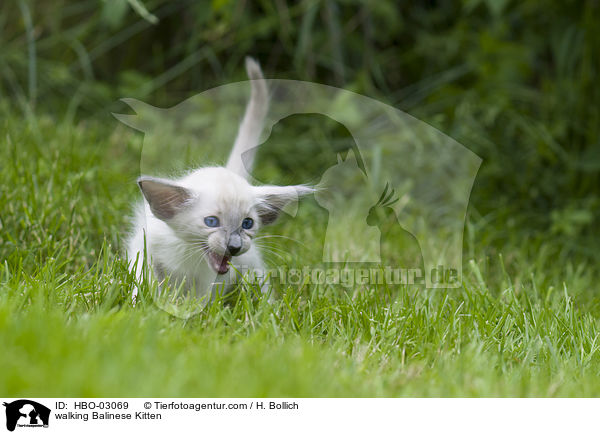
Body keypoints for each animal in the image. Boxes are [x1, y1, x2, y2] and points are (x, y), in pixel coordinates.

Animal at [127, 57, 314, 302]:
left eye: (247, 224)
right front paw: (141, 303)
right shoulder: (145, 244)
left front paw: (186, 311)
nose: (234, 246)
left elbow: (201, 301)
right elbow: (143, 279)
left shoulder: (212, 279)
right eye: (211, 222)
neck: (187, 254)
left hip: (251, 264)